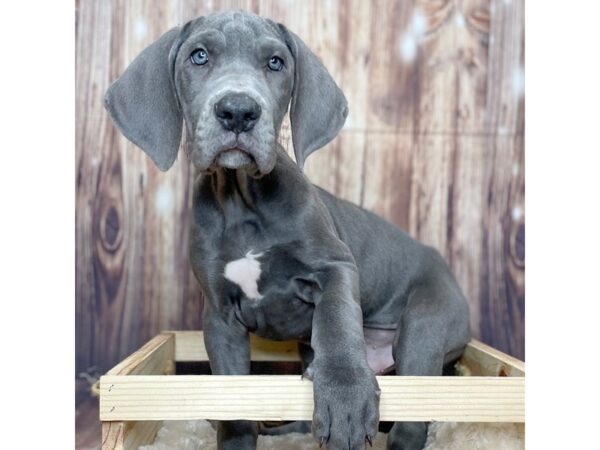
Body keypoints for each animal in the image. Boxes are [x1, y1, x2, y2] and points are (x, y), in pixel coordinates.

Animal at [104, 10, 468, 450]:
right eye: (199, 56)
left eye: (275, 62)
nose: (238, 110)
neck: (243, 201)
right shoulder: (220, 316)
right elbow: (233, 396)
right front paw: (237, 440)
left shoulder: (334, 268)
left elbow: (337, 326)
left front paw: (346, 398)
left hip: (426, 325)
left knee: (414, 416)